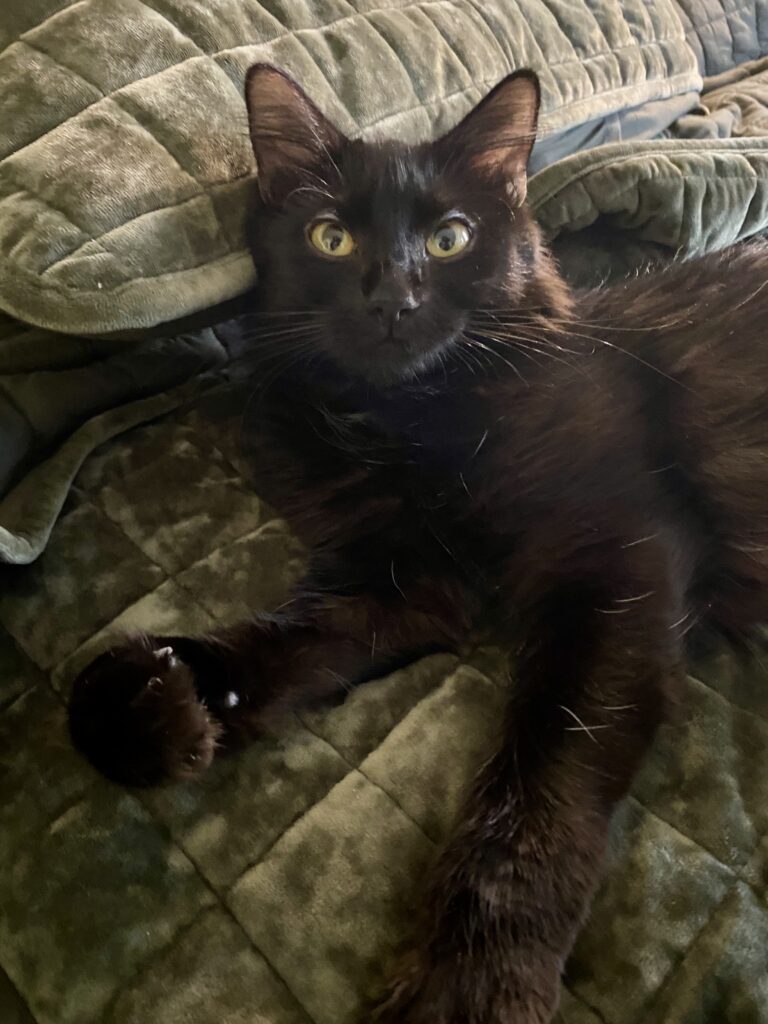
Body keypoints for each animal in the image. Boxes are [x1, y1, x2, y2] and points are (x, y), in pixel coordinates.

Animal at [68, 64, 768, 1023]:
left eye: (449, 239)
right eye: (329, 238)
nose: (391, 300)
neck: (407, 421)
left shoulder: (617, 558)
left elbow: (545, 767)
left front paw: (471, 975)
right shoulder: (399, 580)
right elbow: (286, 642)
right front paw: (151, 701)